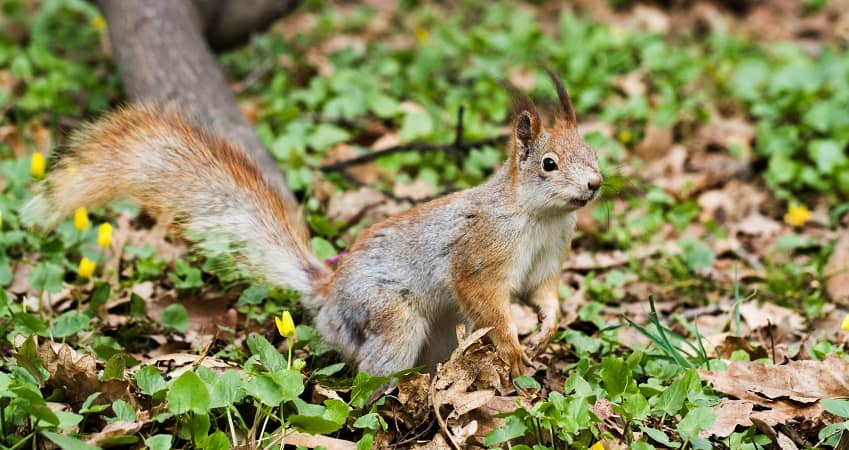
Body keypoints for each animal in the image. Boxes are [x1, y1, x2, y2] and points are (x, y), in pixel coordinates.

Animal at [21, 71, 604, 376]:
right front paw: (515, 352)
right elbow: (487, 301)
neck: (538, 218)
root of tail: (326, 294)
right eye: (549, 163)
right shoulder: (481, 254)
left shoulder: (546, 261)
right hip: (389, 318)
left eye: (594, 152)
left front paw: (548, 326)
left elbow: (543, 294)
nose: (595, 185)